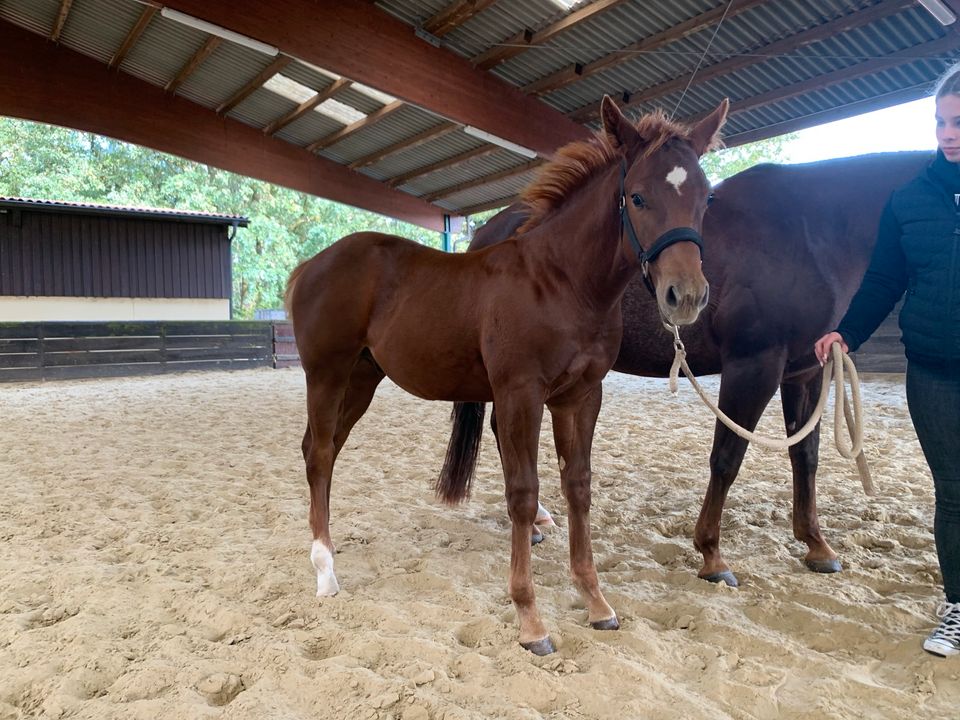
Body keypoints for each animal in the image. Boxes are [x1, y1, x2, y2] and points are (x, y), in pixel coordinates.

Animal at [284, 95, 728, 652]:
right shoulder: (520, 394)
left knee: (325, 450)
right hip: (326, 374)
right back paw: (325, 570)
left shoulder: (582, 396)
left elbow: (578, 486)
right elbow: (523, 493)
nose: (685, 296)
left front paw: (596, 602)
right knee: (319, 453)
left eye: (706, 198)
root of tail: (311, 266)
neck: (560, 281)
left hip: (362, 379)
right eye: (638, 197)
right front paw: (530, 619)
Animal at [468, 149, 932, 588]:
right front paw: (712, 555)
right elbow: (727, 457)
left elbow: (805, 455)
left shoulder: (806, 372)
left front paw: (816, 545)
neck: (812, 231)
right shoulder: (753, 365)